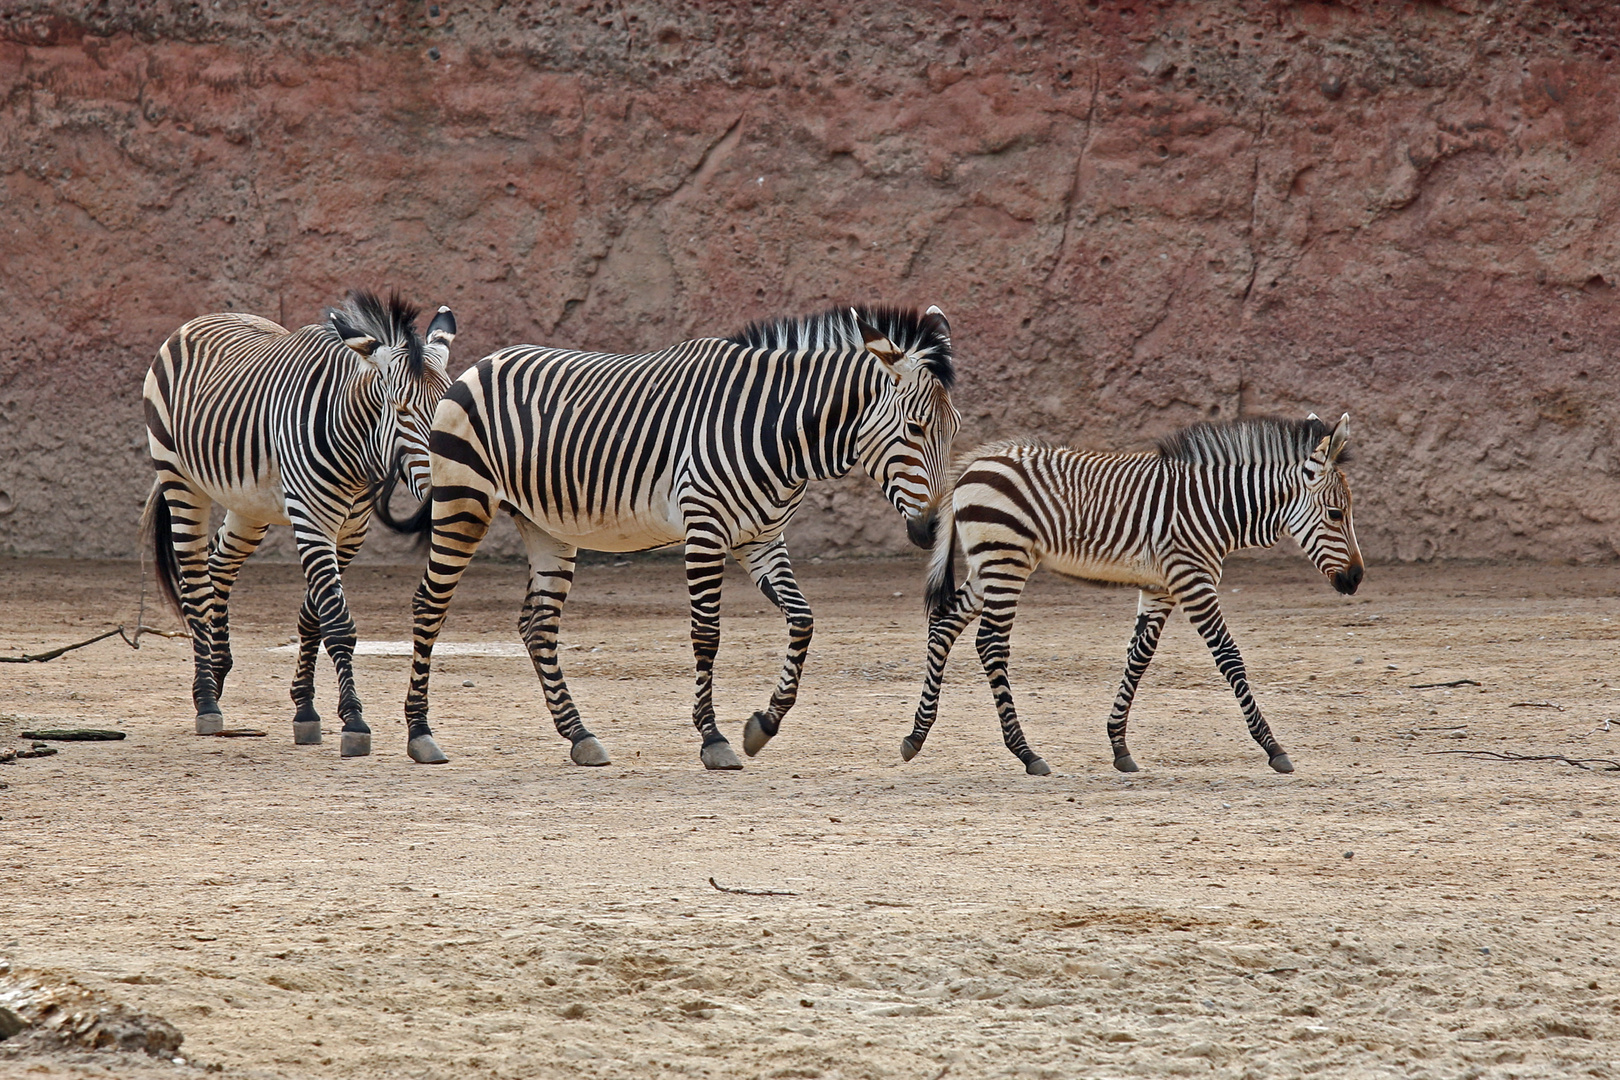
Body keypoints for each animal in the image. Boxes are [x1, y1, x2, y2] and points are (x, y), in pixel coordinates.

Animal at [143, 291, 456, 757]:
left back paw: (217, 672)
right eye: (402, 411)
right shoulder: (312, 519)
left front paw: (305, 710)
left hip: (249, 505)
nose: (444, 486)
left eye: (450, 406)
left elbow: (315, 614)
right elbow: (337, 621)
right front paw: (354, 721)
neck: (356, 446)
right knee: (196, 584)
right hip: (179, 478)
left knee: (219, 567)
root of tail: (204, 317)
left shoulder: (351, 530)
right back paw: (206, 700)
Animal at [379, 304, 952, 767]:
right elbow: (707, 635)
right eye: (916, 429)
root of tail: (482, 363)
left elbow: (803, 621)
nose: (930, 530)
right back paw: (420, 734)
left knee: (537, 625)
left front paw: (764, 724)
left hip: (545, 526)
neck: (778, 430)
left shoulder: (761, 540)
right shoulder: (705, 530)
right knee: (430, 604)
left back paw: (579, 735)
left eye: (954, 430)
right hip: (463, 501)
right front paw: (713, 738)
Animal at [907, 414, 1360, 777]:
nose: (1356, 578)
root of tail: (973, 464)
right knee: (990, 643)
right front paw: (1273, 746)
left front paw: (1119, 745)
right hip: (1005, 560)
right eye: (1336, 514)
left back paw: (917, 734)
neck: (1215, 509)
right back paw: (1026, 753)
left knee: (945, 622)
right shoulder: (1192, 579)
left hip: (990, 565)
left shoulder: (1161, 588)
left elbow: (1139, 658)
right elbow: (1229, 655)